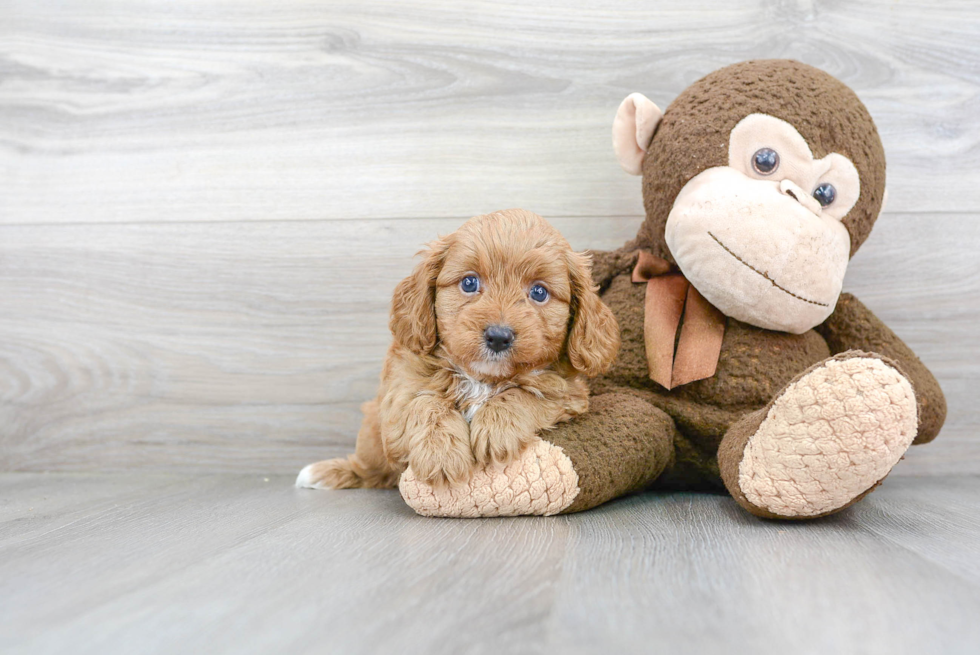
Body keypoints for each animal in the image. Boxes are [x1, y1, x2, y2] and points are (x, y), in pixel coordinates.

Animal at [298, 210, 616, 492]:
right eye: (469, 282)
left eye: (539, 292)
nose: (498, 337)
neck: (482, 378)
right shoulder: (397, 396)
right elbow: (425, 404)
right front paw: (441, 454)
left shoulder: (567, 393)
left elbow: (525, 394)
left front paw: (497, 428)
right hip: (372, 435)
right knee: (370, 470)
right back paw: (328, 472)